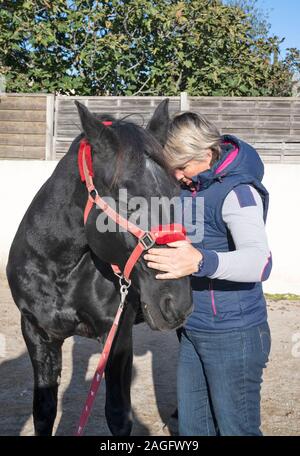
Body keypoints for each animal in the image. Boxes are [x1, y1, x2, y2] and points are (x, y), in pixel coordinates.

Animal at [6, 99, 192, 434]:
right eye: (129, 202)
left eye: (177, 194)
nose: (177, 301)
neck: (59, 270)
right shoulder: (37, 333)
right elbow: (43, 410)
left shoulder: (117, 336)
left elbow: (118, 414)